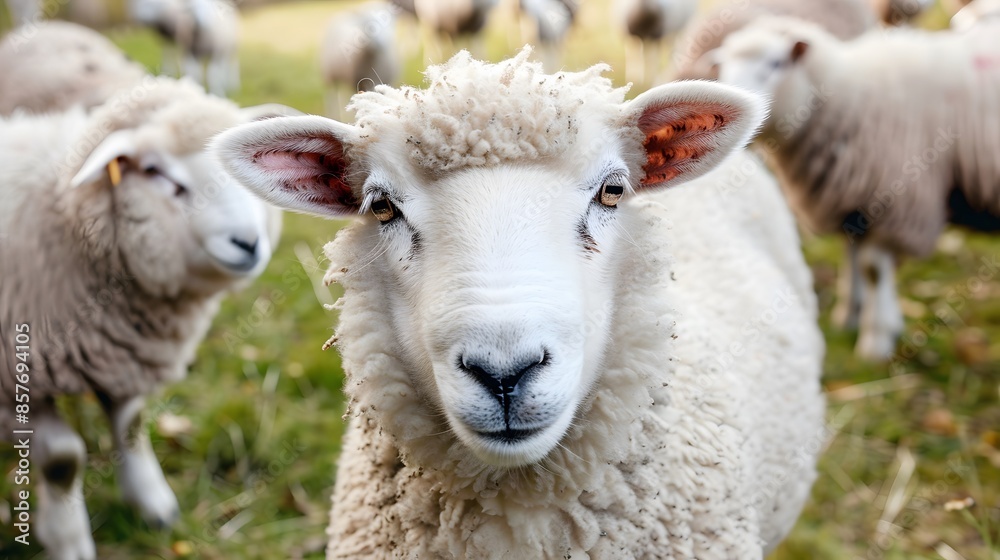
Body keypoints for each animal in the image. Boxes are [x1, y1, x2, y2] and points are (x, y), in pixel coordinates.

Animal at [0, 77, 288, 560]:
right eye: (156, 172)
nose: (248, 243)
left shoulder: (122, 355)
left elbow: (132, 425)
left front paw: (153, 504)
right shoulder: (18, 378)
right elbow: (62, 461)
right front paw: (68, 539)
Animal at [714, 16, 1000, 360]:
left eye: (776, 63)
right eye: (723, 64)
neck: (847, 98)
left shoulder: (895, 199)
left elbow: (873, 269)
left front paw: (875, 341)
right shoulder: (854, 202)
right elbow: (851, 257)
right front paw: (851, 316)